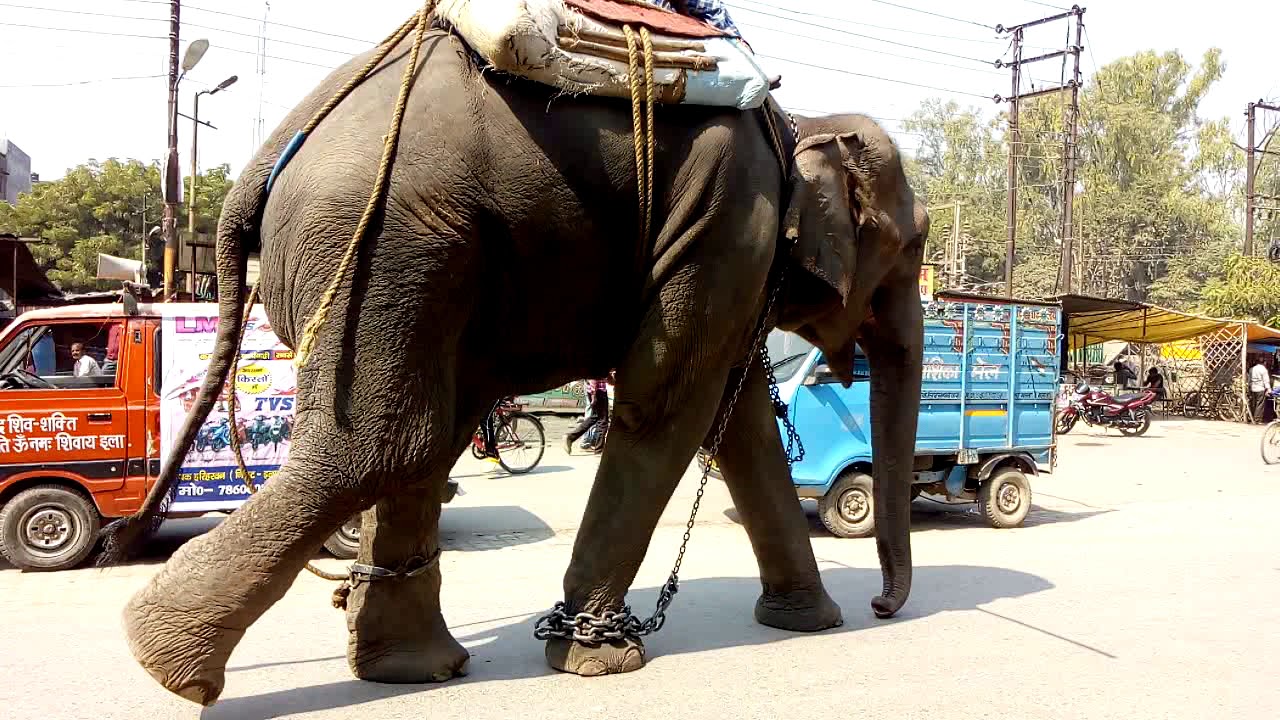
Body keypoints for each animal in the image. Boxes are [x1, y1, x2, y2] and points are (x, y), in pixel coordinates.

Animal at [102, 25, 927, 706]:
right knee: (384, 445)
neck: (796, 126)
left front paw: (809, 623)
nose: (882, 606)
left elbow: (741, 416)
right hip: (382, 238)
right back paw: (166, 662)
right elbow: (671, 401)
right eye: (913, 243)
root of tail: (266, 162)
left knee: (425, 441)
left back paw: (411, 668)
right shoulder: (728, 215)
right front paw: (600, 660)